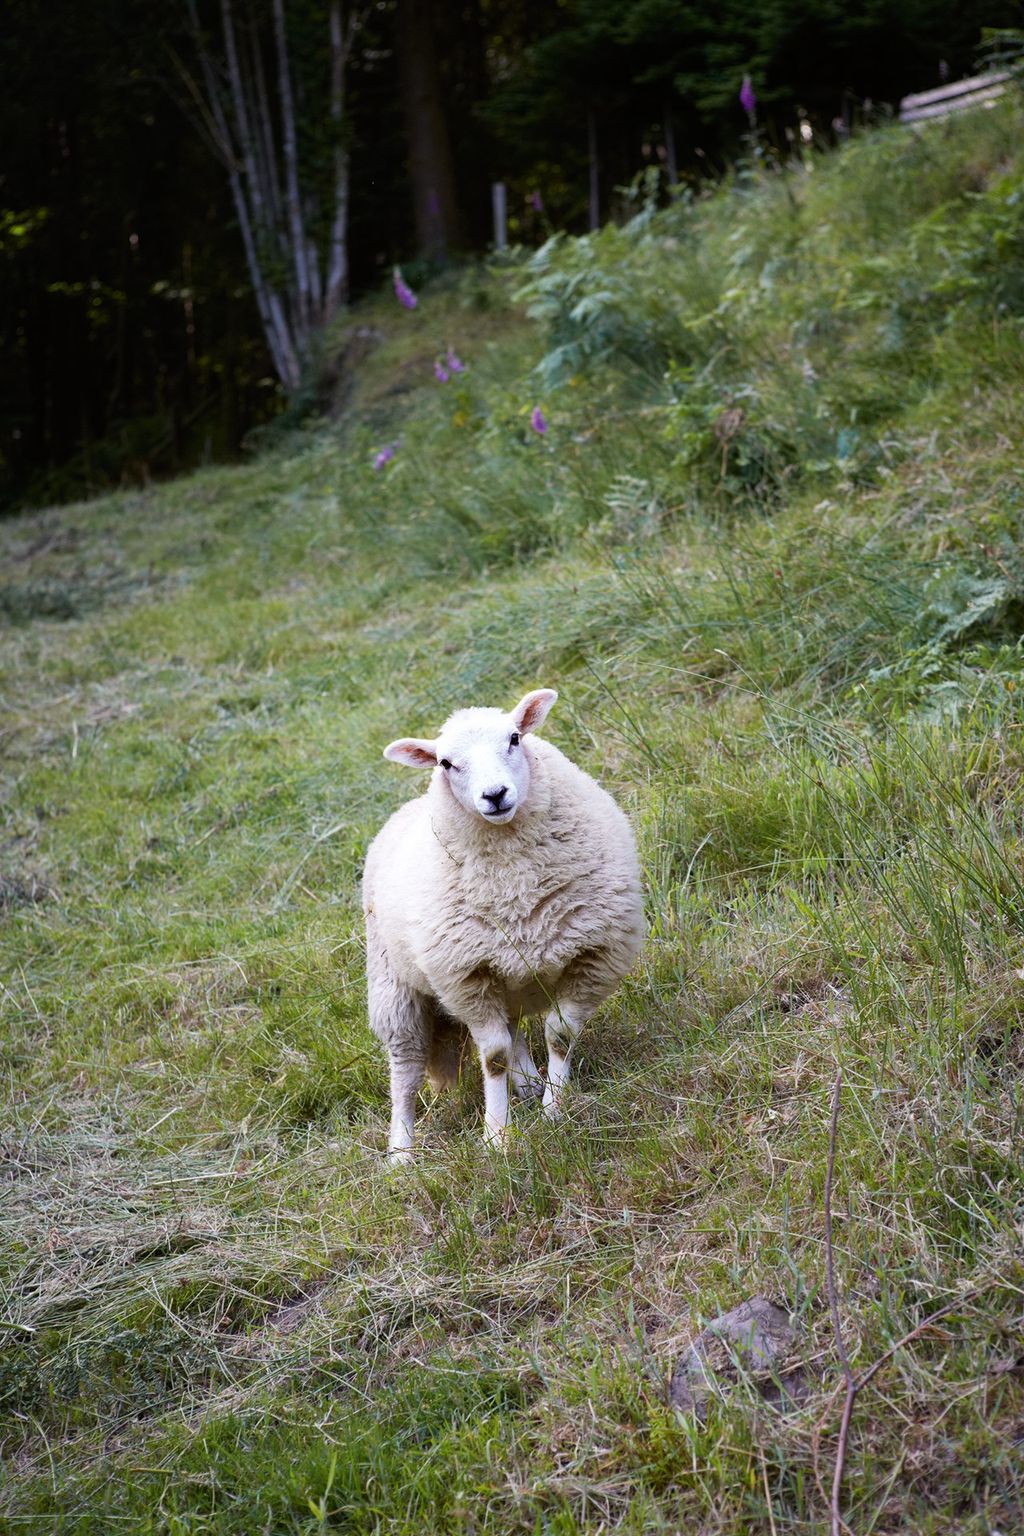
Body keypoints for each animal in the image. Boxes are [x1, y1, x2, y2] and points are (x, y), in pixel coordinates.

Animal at [362, 688, 645, 1161]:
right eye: (445, 763)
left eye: (514, 738)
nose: (495, 795)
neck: (516, 887)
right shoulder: (467, 977)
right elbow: (492, 1056)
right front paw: (496, 1136)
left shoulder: (592, 955)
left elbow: (559, 1036)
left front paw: (553, 1111)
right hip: (395, 988)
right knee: (406, 1070)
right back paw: (401, 1153)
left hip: (509, 977)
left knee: (514, 1033)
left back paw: (529, 1085)